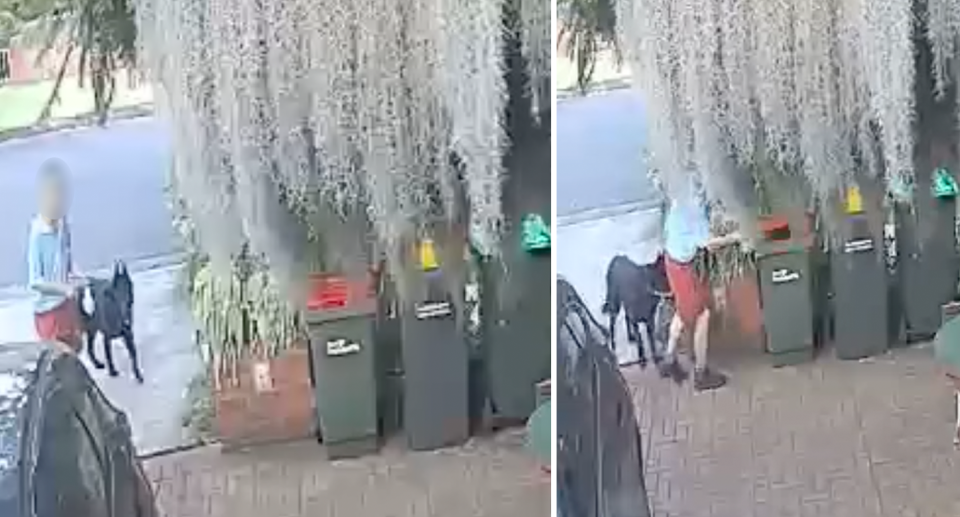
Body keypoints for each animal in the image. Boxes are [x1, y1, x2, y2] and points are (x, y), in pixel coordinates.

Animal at [604, 254, 688, 382]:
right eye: (666, 273)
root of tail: (618, 257)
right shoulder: (636, 320)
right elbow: (640, 341)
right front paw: (642, 359)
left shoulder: (650, 321)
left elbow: (651, 340)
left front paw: (655, 357)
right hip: (615, 302)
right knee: (612, 322)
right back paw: (613, 345)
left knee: (626, 317)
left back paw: (630, 336)